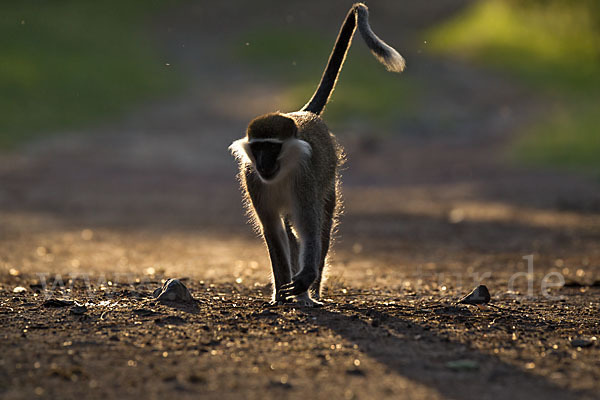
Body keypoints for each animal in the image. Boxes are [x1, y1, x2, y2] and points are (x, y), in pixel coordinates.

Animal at [229, 3, 404, 306]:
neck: (283, 170)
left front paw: (304, 281)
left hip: (327, 182)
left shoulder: (305, 179)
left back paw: (312, 293)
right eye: (259, 148)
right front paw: (280, 295)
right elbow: (273, 231)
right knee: (290, 231)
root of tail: (304, 114)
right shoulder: (253, 180)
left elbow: (310, 227)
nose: (263, 162)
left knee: (322, 225)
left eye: (272, 148)